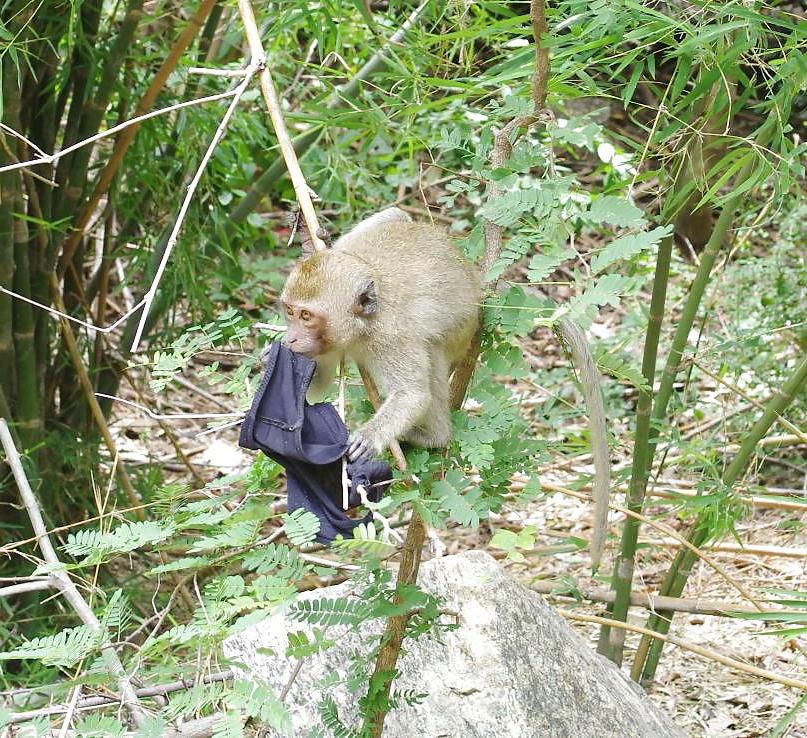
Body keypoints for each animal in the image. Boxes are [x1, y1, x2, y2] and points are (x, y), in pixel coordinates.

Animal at [280, 207, 483, 462]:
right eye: (290, 311)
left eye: (306, 316)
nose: (290, 339)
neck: (363, 326)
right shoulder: (327, 343)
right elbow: (319, 384)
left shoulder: (391, 338)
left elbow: (412, 395)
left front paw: (370, 437)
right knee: (393, 214)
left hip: (461, 334)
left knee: (432, 352)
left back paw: (435, 436)